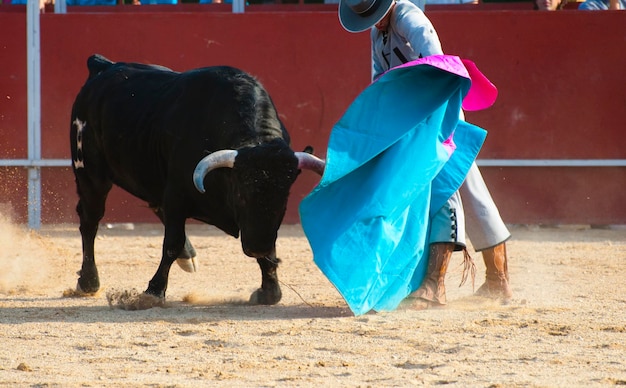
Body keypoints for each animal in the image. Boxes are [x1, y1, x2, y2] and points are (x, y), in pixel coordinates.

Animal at [72, 53, 326, 304]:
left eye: (284, 199)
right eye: (241, 194)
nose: (258, 248)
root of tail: (102, 65)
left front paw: (269, 290)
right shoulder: (176, 195)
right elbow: (171, 243)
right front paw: (153, 292)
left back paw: (188, 257)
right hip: (90, 174)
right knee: (90, 221)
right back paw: (88, 281)